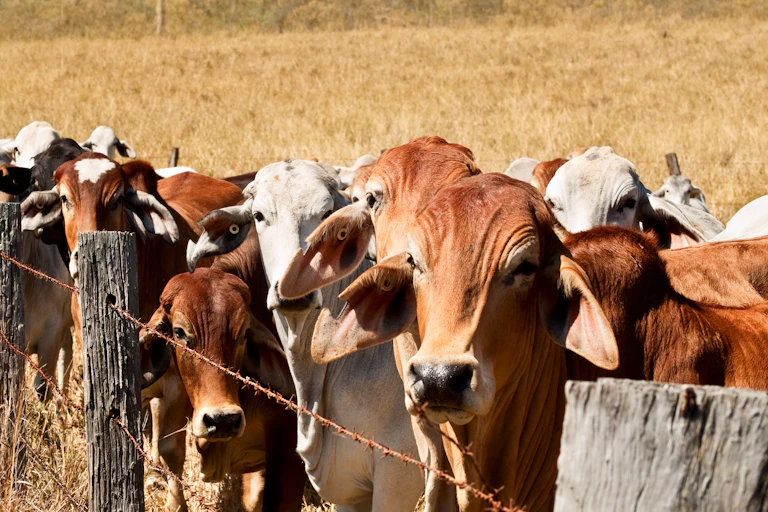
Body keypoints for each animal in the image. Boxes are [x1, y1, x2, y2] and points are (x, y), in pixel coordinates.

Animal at [20, 153, 245, 511]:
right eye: (65, 198)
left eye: (116, 200)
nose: (81, 258)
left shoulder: (179, 379)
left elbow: (171, 449)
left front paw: (176, 503)